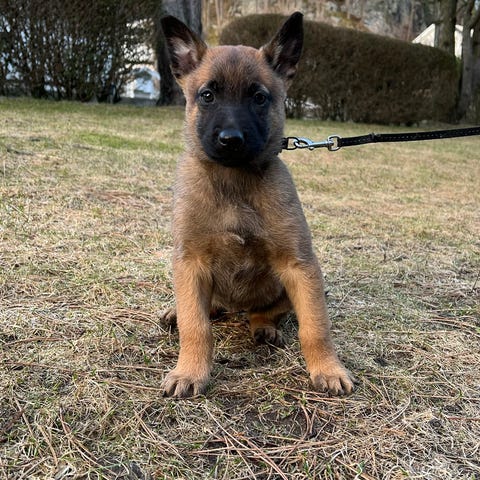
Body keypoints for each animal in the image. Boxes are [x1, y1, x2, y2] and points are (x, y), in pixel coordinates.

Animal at [160, 12, 355, 398]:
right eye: (207, 95)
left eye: (259, 98)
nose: (231, 140)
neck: (234, 182)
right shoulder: (190, 263)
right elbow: (196, 326)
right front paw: (190, 371)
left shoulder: (300, 266)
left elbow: (316, 328)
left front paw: (328, 368)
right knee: (205, 310)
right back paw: (180, 313)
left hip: (283, 289)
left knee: (262, 312)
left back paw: (264, 327)